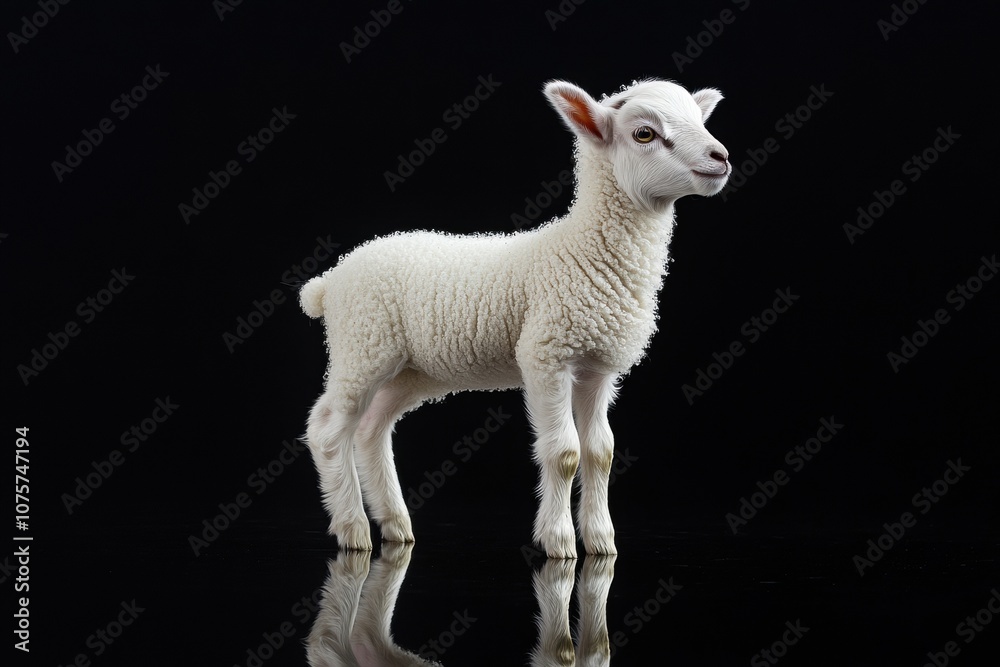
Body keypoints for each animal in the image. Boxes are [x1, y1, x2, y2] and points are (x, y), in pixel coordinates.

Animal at [300, 77, 730, 559]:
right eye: (644, 134)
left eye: (698, 120)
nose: (721, 157)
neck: (582, 250)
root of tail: (330, 280)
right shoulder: (547, 355)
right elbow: (564, 452)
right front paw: (559, 542)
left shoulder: (598, 366)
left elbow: (601, 452)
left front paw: (601, 541)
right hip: (362, 346)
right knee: (328, 430)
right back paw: (353, 529)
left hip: (409, 371)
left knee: (371, 430)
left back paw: (396, 525)